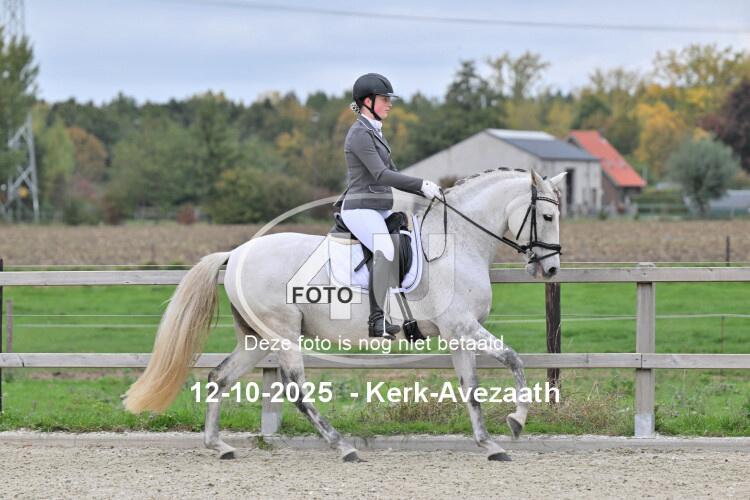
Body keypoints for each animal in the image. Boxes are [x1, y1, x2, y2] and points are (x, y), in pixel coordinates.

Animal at [123, 168, 565, 462]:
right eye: (547, 217)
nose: (551, 270)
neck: (457, 242)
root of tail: (236, 254)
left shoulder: (458, 334)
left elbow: (471, 388)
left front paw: (489, 444)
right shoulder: (465, 327)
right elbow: (514, 360)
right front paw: (516, 421)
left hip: (257, 337)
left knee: (219, 378)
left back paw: (219, 446)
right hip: (282, 333)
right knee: (297, 390)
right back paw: (344, 446)